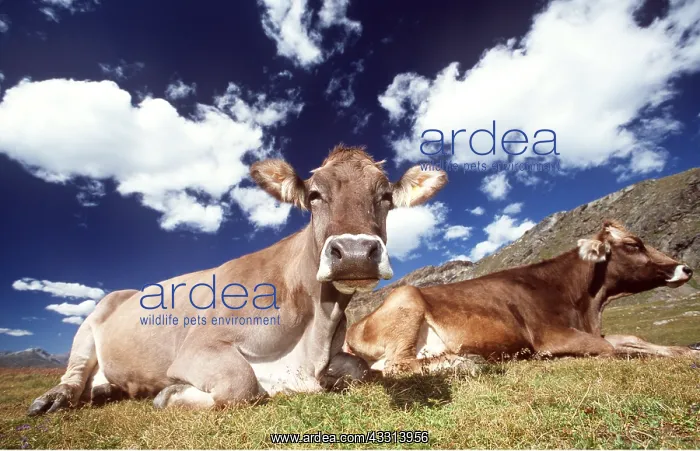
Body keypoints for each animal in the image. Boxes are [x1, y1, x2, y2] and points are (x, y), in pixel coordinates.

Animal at [27, 145, 447, 415]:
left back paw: (105, 390)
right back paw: (56, 398)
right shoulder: (200, 347)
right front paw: (171, 395)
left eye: (386, 196)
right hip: (89, 324)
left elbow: (360, 369)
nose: (356, 252)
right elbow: (241, 384)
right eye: (314, 194)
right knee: (74, 373)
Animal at [346, 220, 698, 375]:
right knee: (395, 365)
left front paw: (687, 352)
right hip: (407, 298)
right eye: (633, 245)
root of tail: (353, 330)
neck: (585, 303)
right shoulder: (550, 336)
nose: (686, 268)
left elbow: (631, 339)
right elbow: (612, 349)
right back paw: (468, 362)